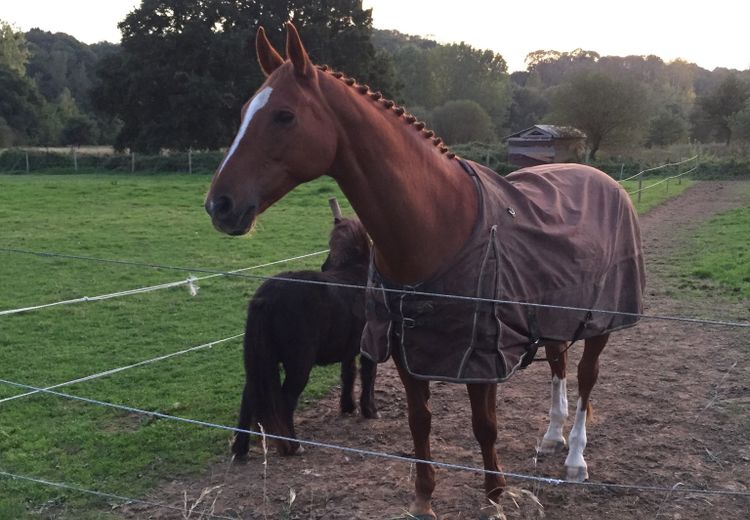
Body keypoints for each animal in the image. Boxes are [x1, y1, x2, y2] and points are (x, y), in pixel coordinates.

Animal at [234, 215, 378, 456]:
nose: (325, 265)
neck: (356, 270)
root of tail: (266, 297)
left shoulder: (349, 349)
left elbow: (348, 374)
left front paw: (348, 407)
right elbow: (368, 376)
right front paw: (370, 411)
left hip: (262, 359)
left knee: (249, 396)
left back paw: (239, 449)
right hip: (299, 365)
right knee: (286, 401)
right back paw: (293, 446)